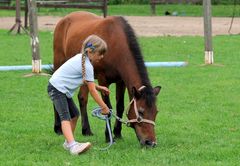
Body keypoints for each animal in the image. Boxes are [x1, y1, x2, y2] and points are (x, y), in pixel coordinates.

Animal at [52, 11, 161, 147]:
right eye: (141, 112)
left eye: (156, 112)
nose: (150, 142)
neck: (116, 44)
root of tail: (65, 19)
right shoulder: (103, 80)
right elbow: (107, 108)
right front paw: (109, 137)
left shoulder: (121, 81)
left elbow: (120, 106)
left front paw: (117, 133)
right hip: (59, 64)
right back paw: (58, 128)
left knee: (82, 98)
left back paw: (86, 130)